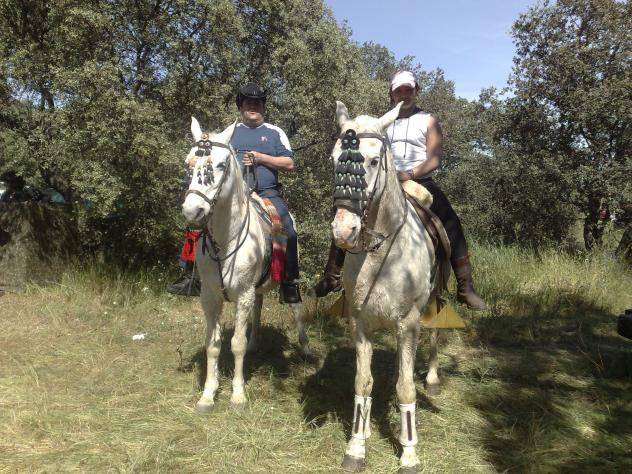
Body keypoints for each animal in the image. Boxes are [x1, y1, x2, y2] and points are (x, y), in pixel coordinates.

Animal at [181, 118, 310, 413]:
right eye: (189, 163)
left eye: (220, 165)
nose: (192, 211)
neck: (226, 240)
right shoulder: (211, 297)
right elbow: (213, 344)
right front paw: (207, 395)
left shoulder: (243, 294)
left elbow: (236, 344)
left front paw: (237, 396)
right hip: (255, 289)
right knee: (258, 309)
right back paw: (255, 342)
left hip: (287, 280)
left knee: (296, 307)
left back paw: (305, 347)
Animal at [329, 101, 442, 473]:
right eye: (335, 159)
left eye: (373, 161)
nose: (344, 230)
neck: (381, 253)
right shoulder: (360, 324)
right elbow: (362, 383)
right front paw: (356, 446)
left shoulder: (408, 323)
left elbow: (406, 388)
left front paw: (409, 453)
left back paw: (432, 377)